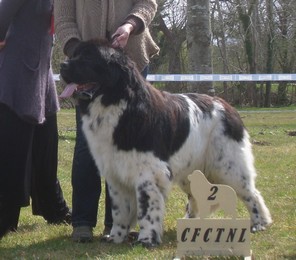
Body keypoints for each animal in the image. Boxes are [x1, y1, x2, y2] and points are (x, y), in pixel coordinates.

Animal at [60, 39, 272, 248]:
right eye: (75, 54)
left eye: (89, 58)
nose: (62, 65)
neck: (116, 104)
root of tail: (227, 106)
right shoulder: (115, 172)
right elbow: (120, 210)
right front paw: (116, 237)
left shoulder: (148, 172)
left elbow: (146, 208)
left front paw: (147, 239)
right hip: (190, 171)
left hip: (227, 166)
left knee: (251, 193)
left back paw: (259, 223)